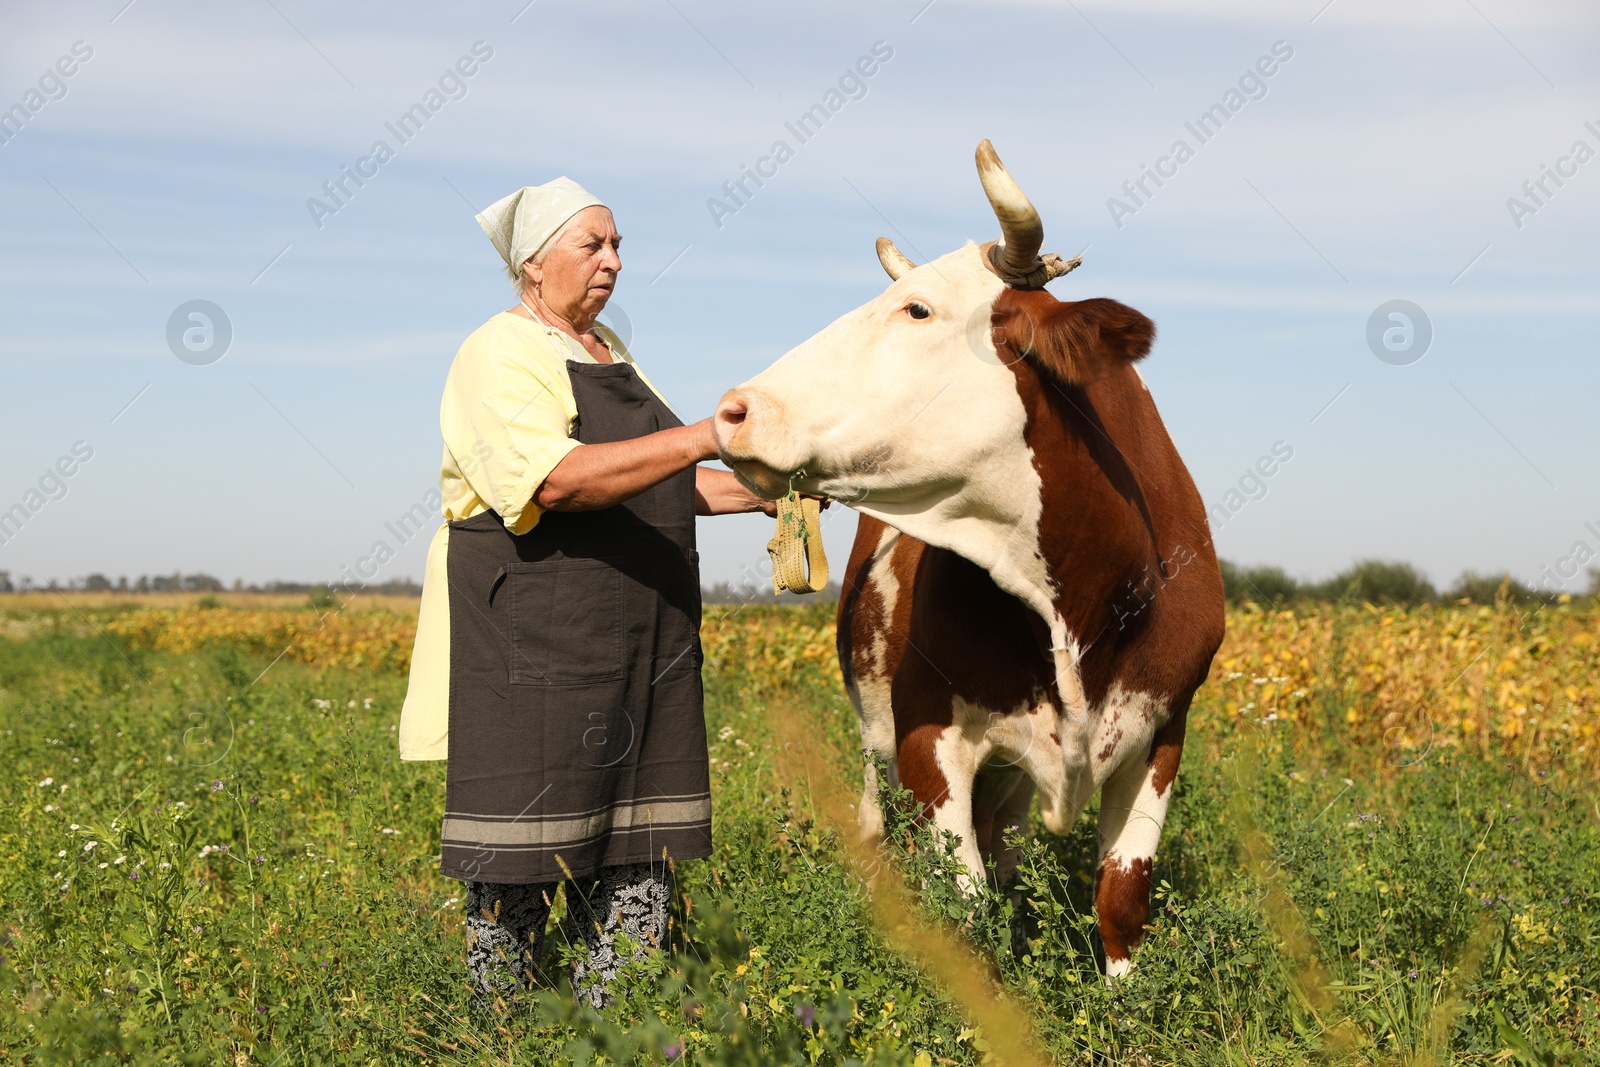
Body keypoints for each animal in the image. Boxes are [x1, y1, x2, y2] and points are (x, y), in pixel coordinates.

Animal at [713, 139, 1222, 979]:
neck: (1078, 596)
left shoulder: (1164, 728)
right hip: (876, 733)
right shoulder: (925, 731)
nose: (734, 410)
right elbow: (965, 906)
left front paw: (1124, 1000)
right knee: (879, 823)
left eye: (918, 310)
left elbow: (1121, 897)